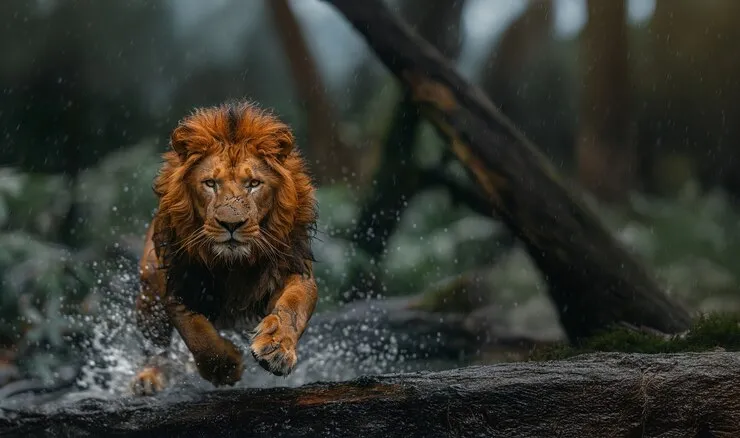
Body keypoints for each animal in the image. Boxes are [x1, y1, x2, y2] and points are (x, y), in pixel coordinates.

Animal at [130, 100, 318, 395]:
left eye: (253, 184)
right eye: (210, 183)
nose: (231, 224)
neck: (233, 266)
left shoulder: (294, 268)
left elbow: (293, 306)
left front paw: (276, 348)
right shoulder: (178, 282)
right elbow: (195, 332)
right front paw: (225, 368)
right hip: (148, 290)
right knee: (154, 346)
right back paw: (148, 379)